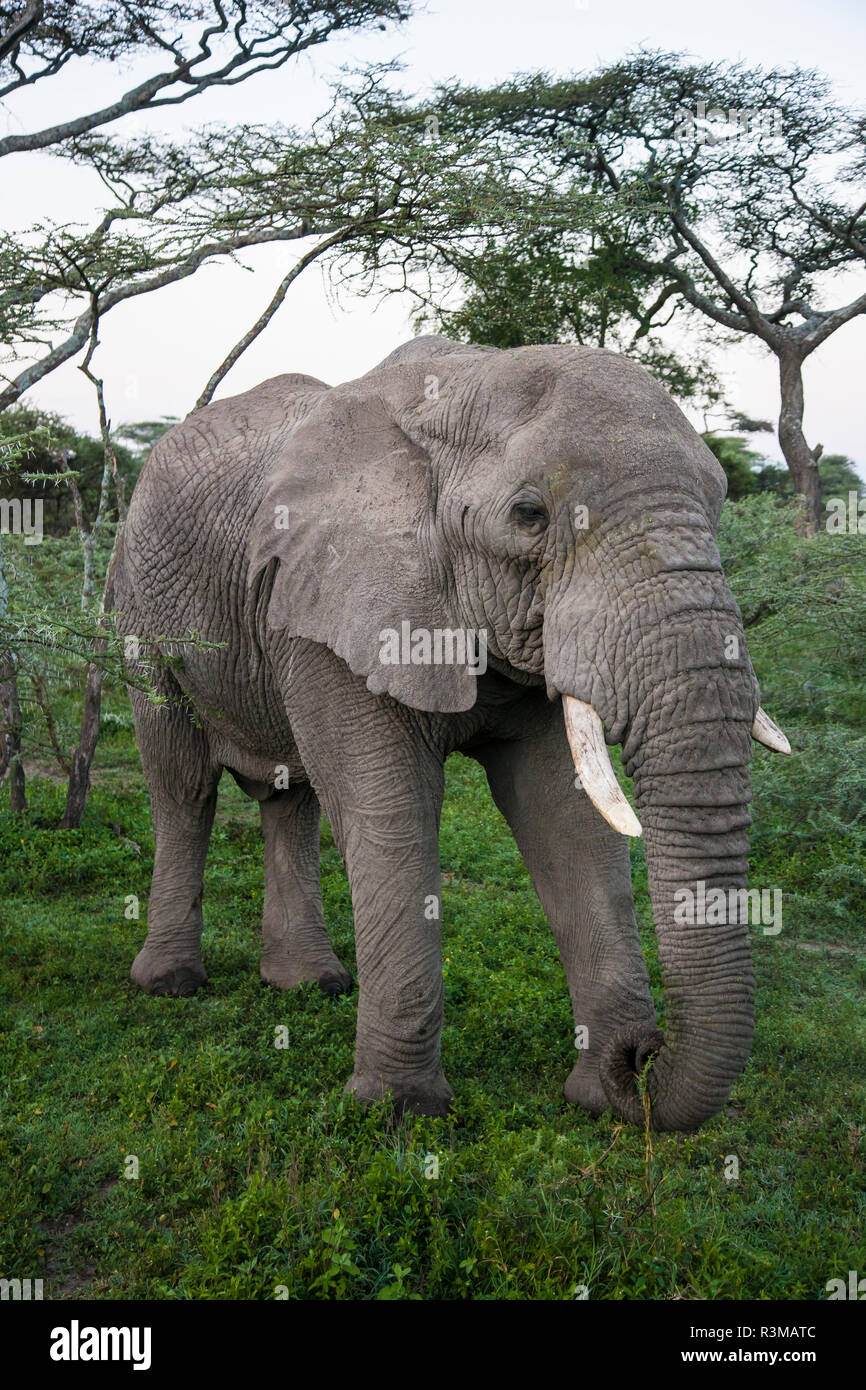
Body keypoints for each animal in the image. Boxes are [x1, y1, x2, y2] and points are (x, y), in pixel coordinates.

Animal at [111, 333, 789, 1128]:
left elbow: (563, 815)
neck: (462, 383)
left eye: (719, 501)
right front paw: (399, 1114)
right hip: (138, 603)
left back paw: (309, 985)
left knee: (289, 794)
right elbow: (390, 807)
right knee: (182, 782)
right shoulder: (335, 600)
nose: (643, 1058)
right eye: (529, 515)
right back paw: (170, 983)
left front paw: (595, 1096)